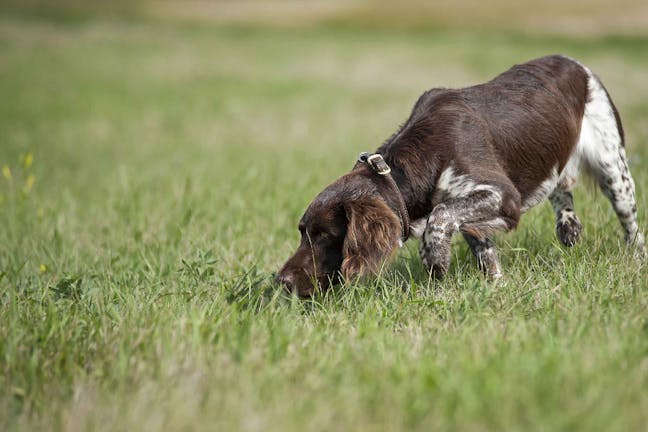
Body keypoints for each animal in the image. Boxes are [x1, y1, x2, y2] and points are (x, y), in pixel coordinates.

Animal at [276, 54, 644, 296]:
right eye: (302, 232)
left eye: (324, 235)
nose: (282, 282)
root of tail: (576, 63)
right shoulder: (472, 213)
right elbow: (481, 246)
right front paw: (495, 287)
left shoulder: (503, 196)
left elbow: (440, 216)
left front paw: (435, 259)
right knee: (560, 189)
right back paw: (568, 225)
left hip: (614, 169)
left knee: (632, 228)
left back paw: (637, 260)